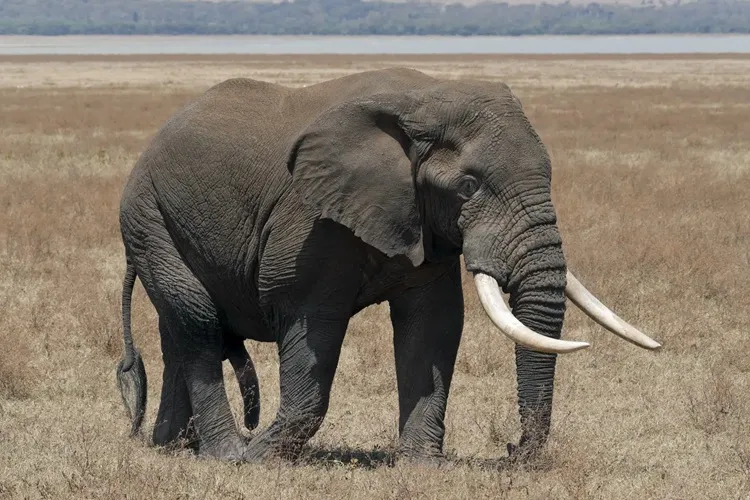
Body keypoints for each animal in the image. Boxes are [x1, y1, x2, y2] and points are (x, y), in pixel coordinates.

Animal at [115, 67, 660, 463]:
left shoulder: (423, 223)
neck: (426, 98)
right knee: (197, 322)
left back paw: (173, 446)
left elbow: (432, 326)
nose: (511, 450)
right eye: (468, 187)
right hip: (148, 216)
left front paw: (420, 466)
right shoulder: (312, 220)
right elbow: (312, 326)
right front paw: (259, 459)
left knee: (176, 330)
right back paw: (224, 455)